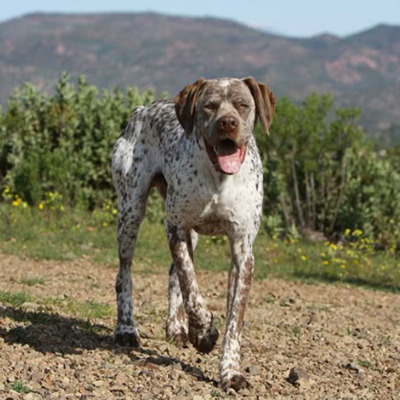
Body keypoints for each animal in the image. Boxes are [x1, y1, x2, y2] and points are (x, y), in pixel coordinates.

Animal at [111, 76, 276, 390]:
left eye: (243, 105)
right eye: (209, 106)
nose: (227, 123)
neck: (219, 178)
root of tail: (141, 110)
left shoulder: (242, 251)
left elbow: (234, 320)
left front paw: (230, 371)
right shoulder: (176, 228)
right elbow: (192, 290)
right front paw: (204, 332)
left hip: (190, 234)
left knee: (171, 272)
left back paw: (176, 327)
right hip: (131, 212)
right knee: (124, 273)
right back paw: (126, 329)